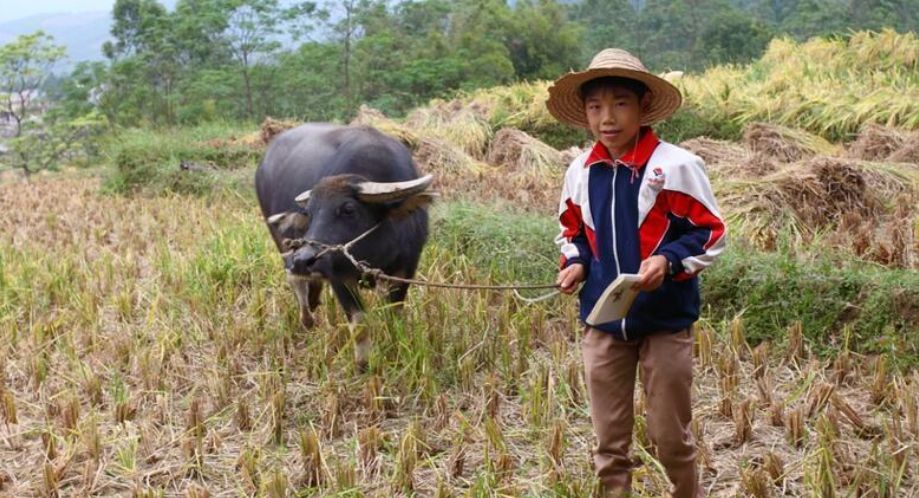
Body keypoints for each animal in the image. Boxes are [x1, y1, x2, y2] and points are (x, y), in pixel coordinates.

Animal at [255, 123, 434, 368]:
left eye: (348, 209)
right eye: (309, 213)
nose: (303, 259)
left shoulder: (405, 269)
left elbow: (393, 315)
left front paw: (395, 350)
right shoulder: (338, 276)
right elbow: (359, 324)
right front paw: (363, 365)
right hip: (281, 241)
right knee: (295, 281)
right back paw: (307, 319)